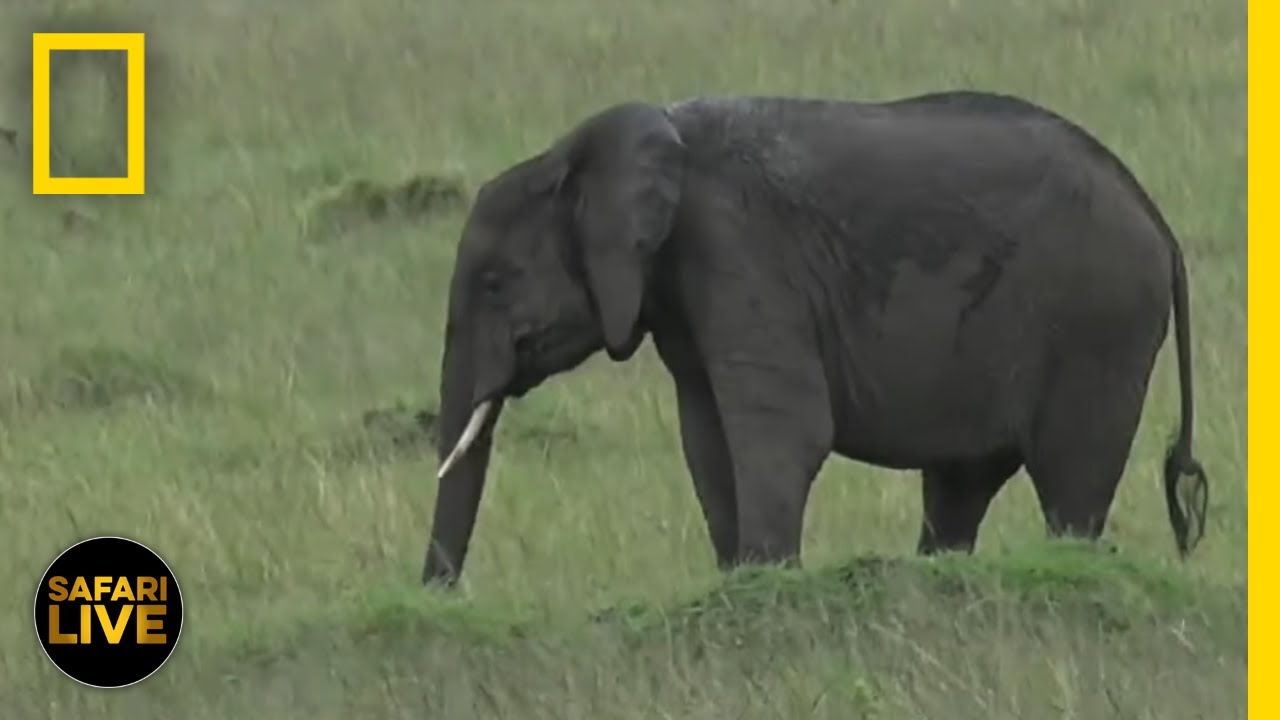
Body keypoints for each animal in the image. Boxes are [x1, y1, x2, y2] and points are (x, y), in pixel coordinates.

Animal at [421, 90, 1210, 587]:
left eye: (495, 284)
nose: (441, 594)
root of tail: (1160, 223)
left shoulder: (736, 248)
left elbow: (783, 431)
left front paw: (772, 583)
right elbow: (707, 438)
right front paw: (742, 582)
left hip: (1100, 324)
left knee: (1071, 483)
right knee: (959, 488)